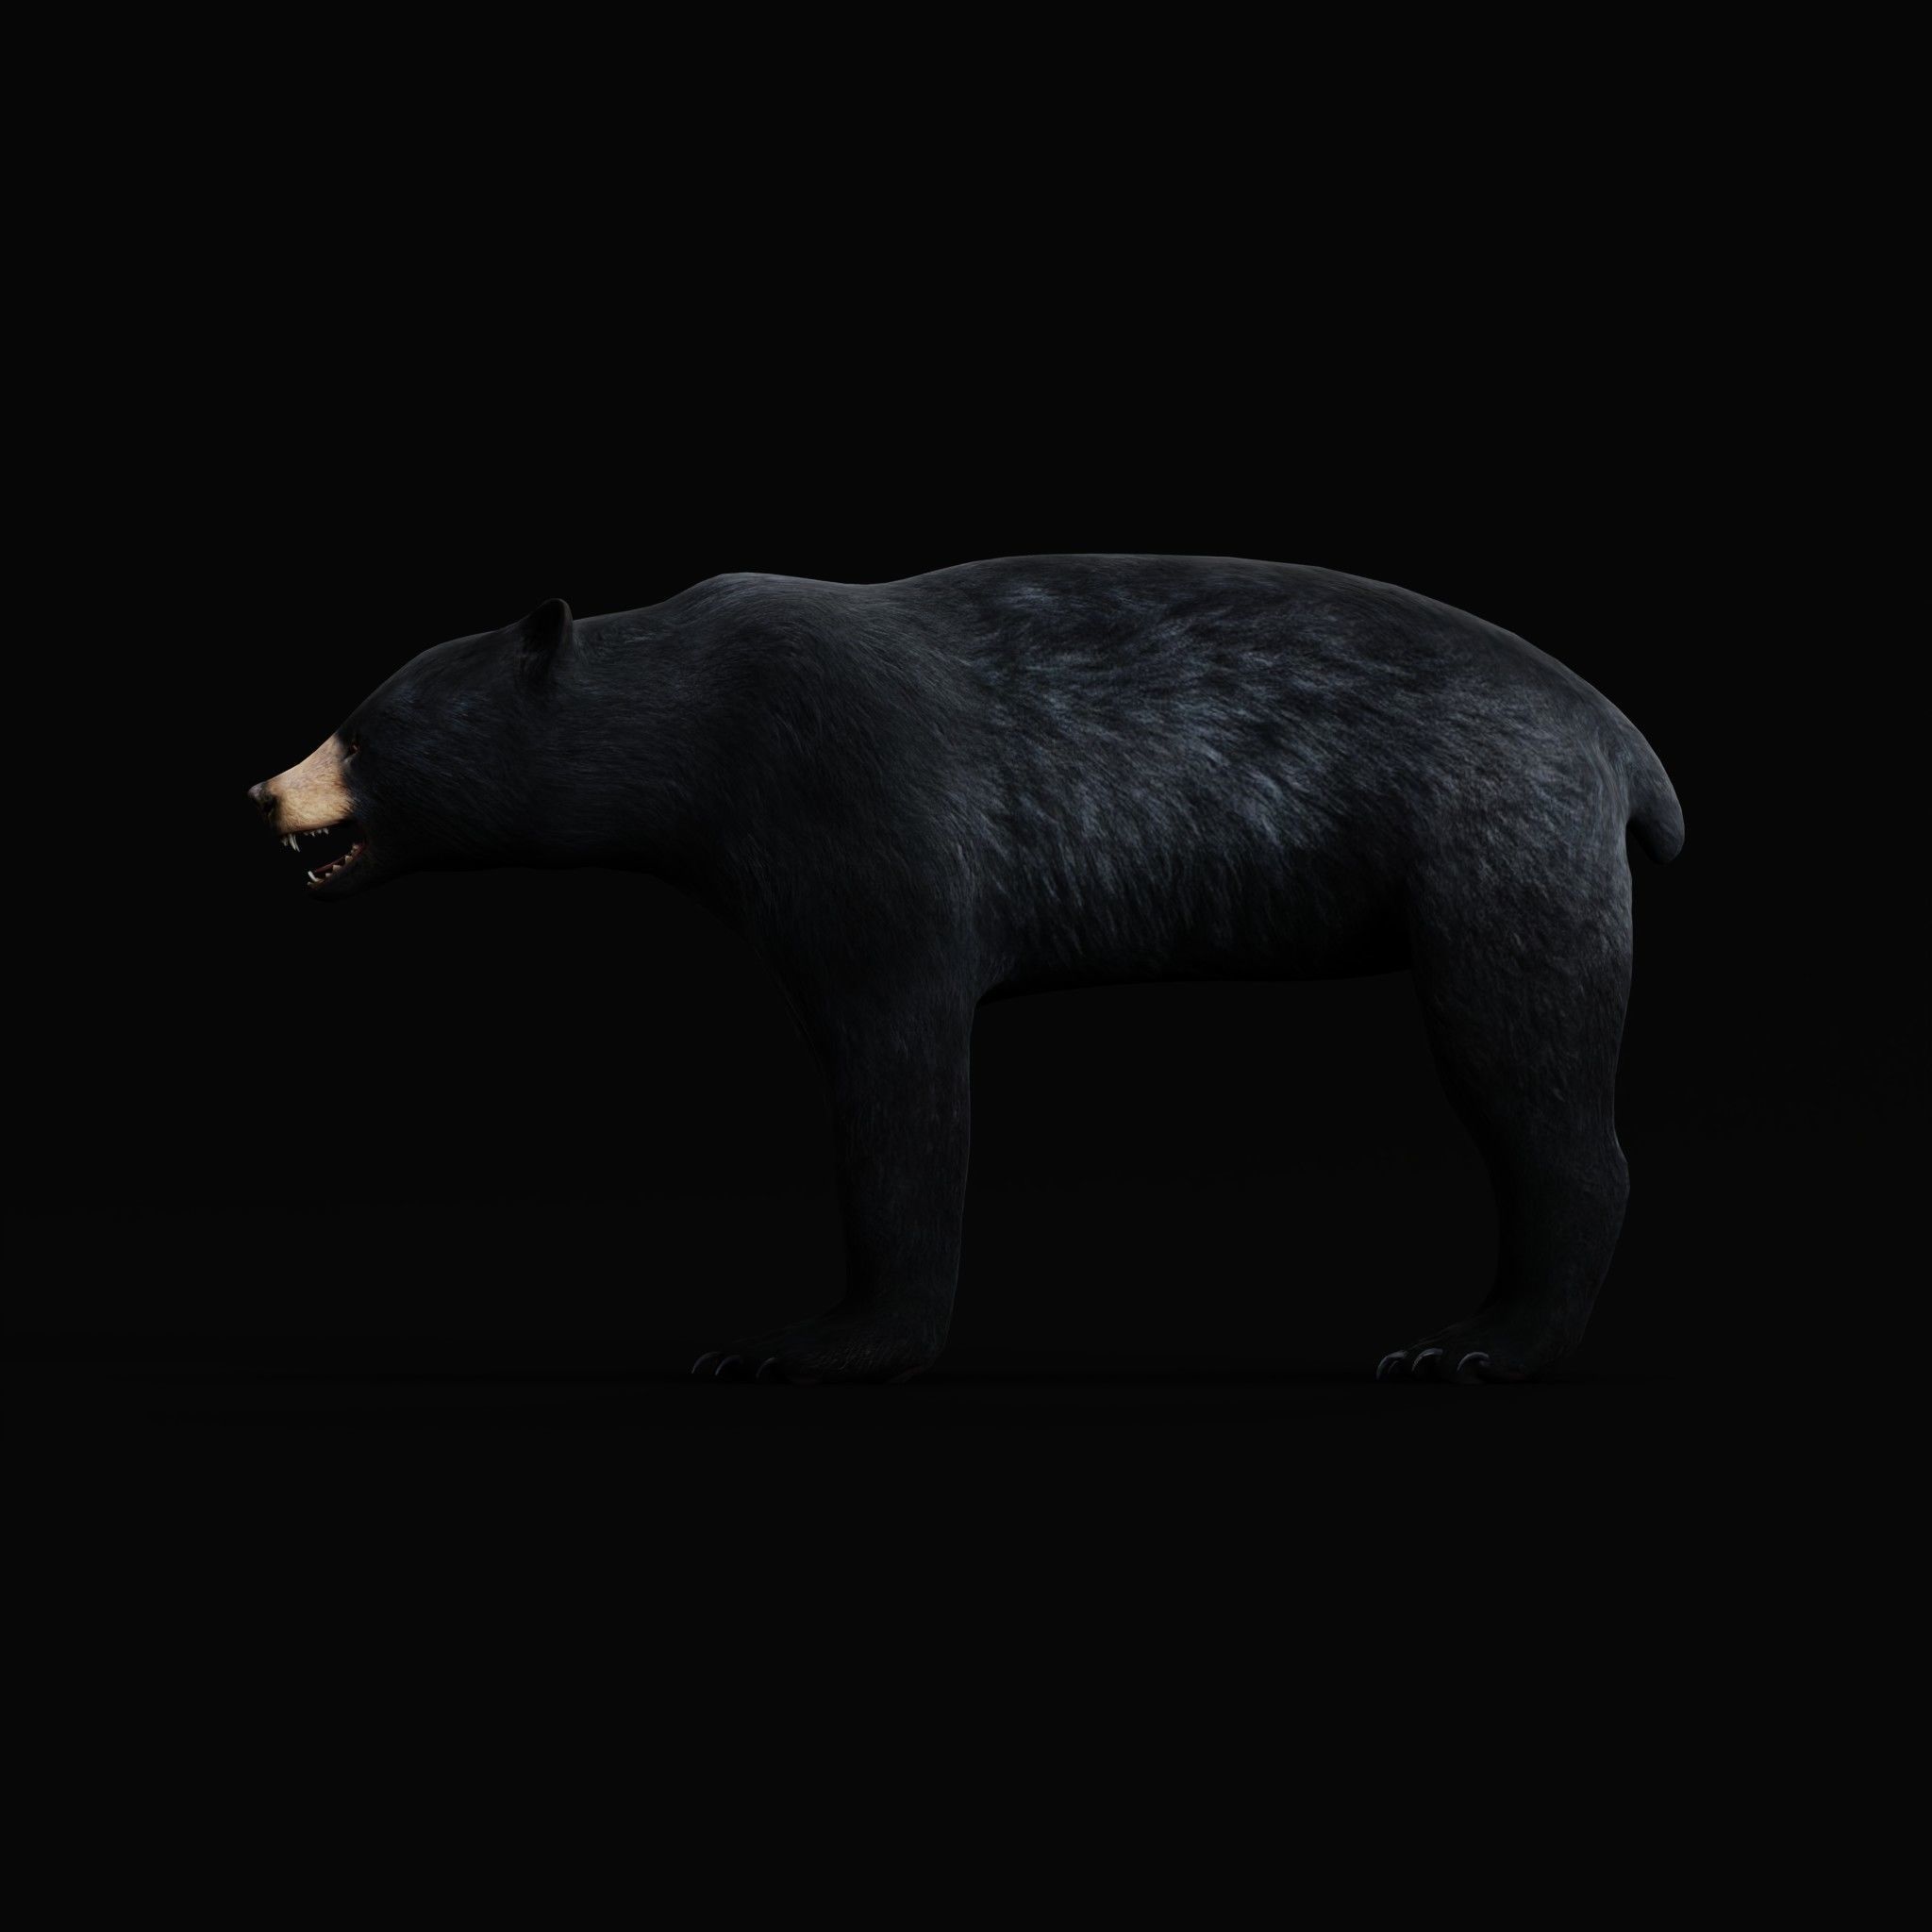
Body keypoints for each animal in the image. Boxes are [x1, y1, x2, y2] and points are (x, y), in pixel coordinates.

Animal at [248, 554, 1682, 1384]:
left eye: (368, 730)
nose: (265, 791)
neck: (696, 713)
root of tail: (1624, 748)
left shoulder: (847, 795)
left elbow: (899, 1065)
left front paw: (808, 1341)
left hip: (1494, 833)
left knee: (1525, 1052)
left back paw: (1476, 1338)